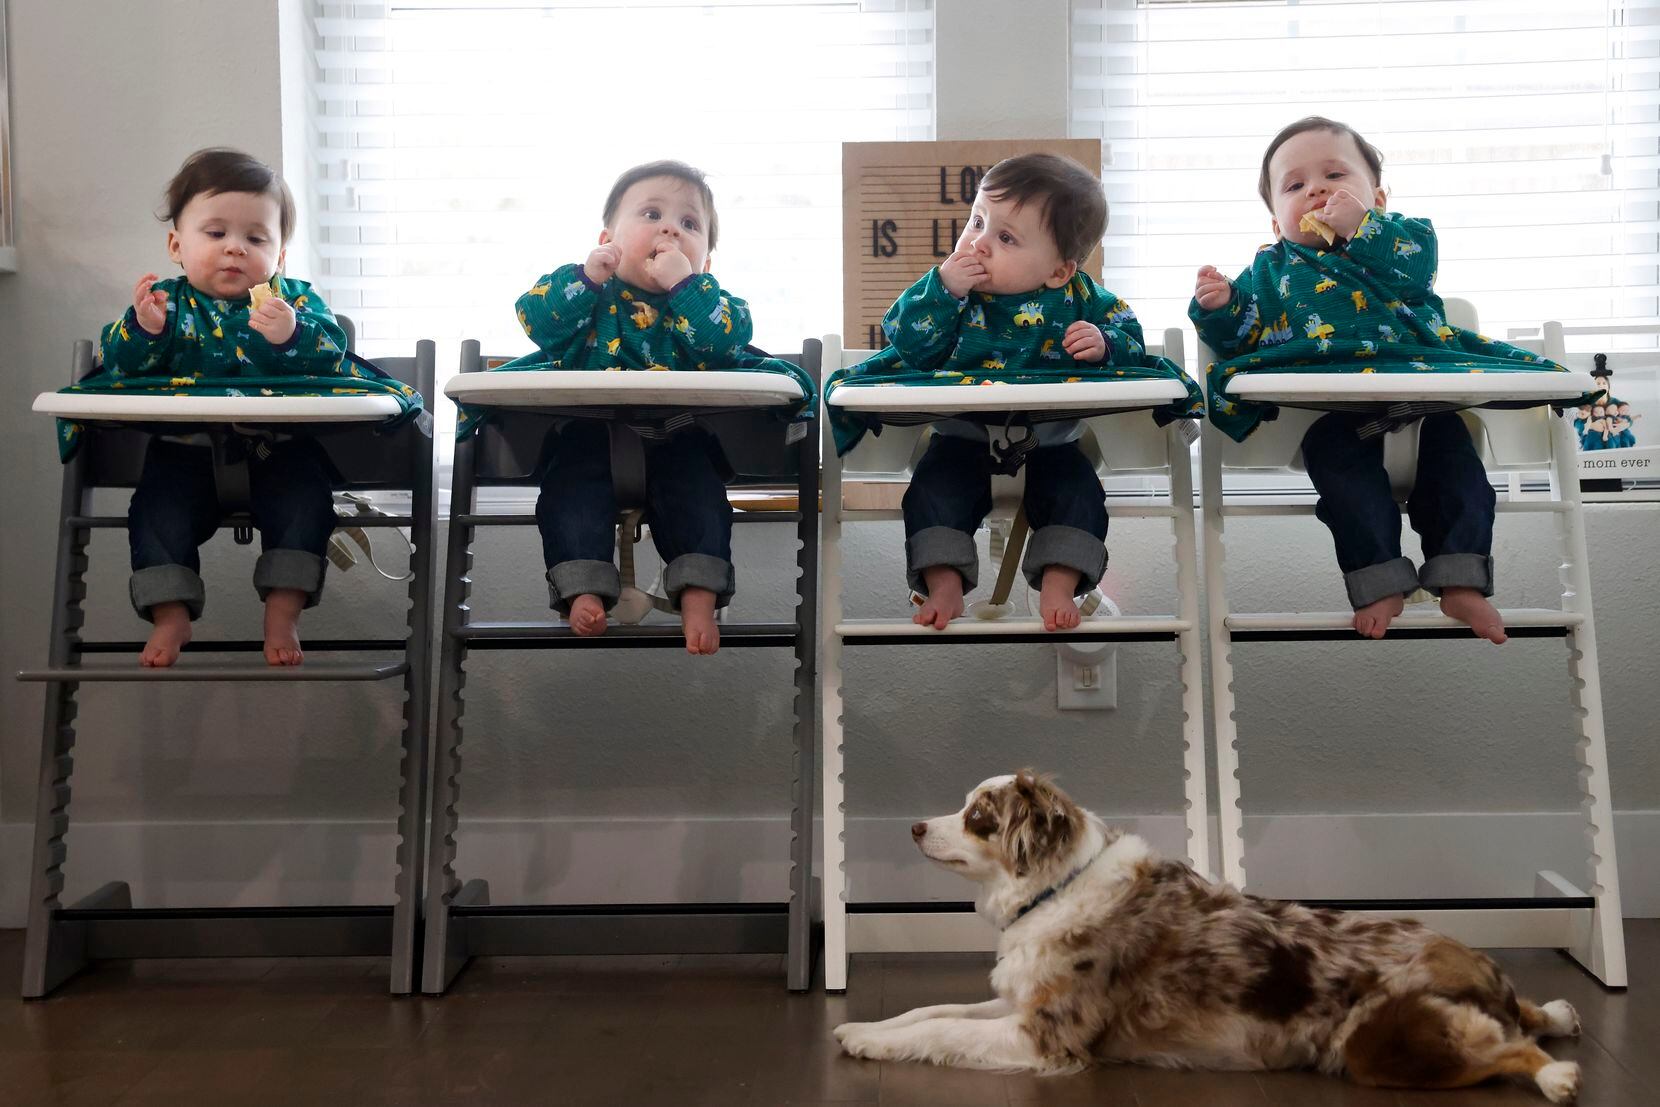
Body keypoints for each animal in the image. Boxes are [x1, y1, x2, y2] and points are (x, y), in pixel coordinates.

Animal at [836, 776, 1573, 1102]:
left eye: (979, 817)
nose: (913, 827)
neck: (1056, 884)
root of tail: (1481, 971)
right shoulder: (1019, 1001)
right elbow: (929, 1010)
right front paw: (863, 1028)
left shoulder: (1045, 1033)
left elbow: (941, 1030)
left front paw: (873, 1042)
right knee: (1529, 1020)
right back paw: (1560, 1011)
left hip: (1376, 1042)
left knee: (1509, 1051)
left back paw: (1557, 1074)